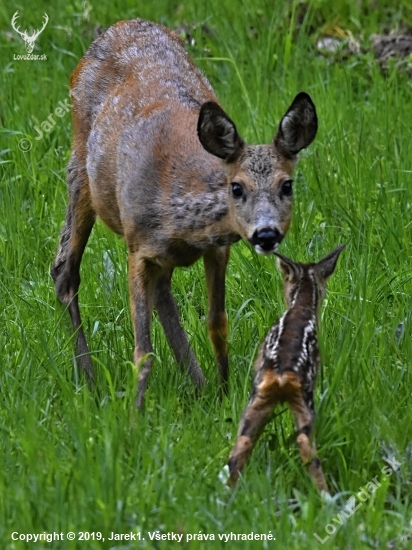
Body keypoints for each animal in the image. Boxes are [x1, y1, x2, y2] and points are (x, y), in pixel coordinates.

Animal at [50, 18, 318, 410]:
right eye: (236, 187)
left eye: (287, 185)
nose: (266, 234)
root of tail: (120, 24)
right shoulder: (136, 247)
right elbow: (142, 350)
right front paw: (136, 413)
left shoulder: (217, 249)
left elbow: (217, 324)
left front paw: (223, 395)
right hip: (79, 167)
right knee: (64, 269)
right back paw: (91, 380)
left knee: (163, 292)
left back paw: (198, 384)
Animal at [225, 246, 344, 496]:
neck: (302, 306)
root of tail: (282, 375)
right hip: (305, 397)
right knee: (306, 445)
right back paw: (326, 496)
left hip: (258, 396)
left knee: (241, 444)